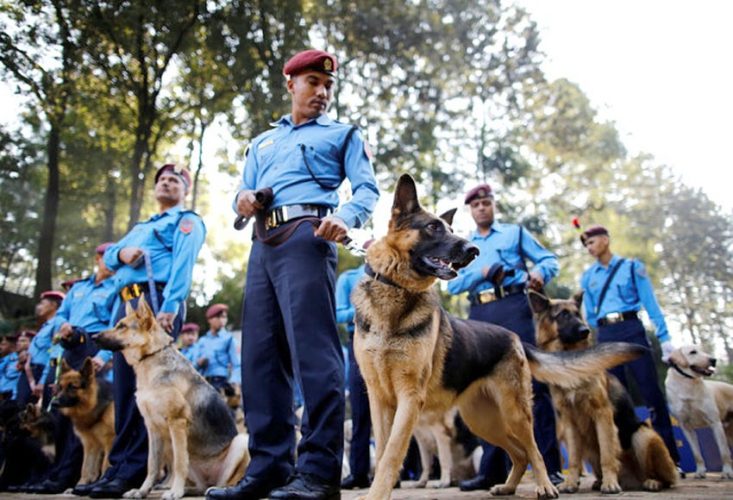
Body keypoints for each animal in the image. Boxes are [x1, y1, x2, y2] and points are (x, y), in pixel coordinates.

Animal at [94, 299, 249, 500]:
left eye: (122, 326)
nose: (93, 337)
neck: (150, 358)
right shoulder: (152, 428)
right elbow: (152, 465)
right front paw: (142, 490)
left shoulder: (177, 422)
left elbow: (178, 464)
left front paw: (174, 491)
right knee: (201, 486)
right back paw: (188, 490)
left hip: (241, 441)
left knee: (228, 481)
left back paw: (220, 490)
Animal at [352, 173, 644, 499]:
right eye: (433, 227)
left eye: (450, 229)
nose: (473, 250)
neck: (395, 290)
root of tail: (516, 338)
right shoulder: (379, 399)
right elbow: (383, 451)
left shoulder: (409, 397)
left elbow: (391, 453)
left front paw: (377, 493)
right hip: (482, 421)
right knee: (518, 454)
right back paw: (508, 485)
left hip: (515, 413)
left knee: (534, 450)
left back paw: (546, 485)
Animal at [529, 290, 677, 492]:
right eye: (564, 315)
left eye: (578, 314)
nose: (585, 331)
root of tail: (633, 481)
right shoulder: (570, 422)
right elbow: (574, 459)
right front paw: (570, 483)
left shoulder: (602, 414)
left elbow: (607, 454)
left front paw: (610, 482)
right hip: (589, 447)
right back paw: (599, 481)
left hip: (643, 436)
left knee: (667, 478)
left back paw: (651, 481)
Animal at [666, 344, 733, 479]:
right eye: (693, 352)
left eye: (703, 350)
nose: (713, 360)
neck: (687, 382)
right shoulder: (686, 427)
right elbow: (697, 454)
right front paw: (700, 472)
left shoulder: (715, 422)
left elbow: (724, 452)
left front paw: (727, 472)